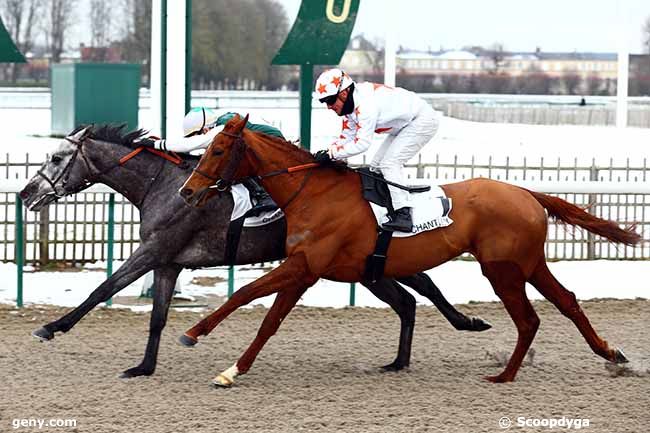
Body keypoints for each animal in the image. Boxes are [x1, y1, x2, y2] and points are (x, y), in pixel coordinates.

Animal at [17, 123, 488, 376]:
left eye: (57, 158)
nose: (25, 193)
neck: (162, 185)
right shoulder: (168, 263)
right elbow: (157, 318)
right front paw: (144, 367)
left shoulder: (152, 251)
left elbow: (103, 288)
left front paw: (51, 327)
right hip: (366, 266)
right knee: (410, 298)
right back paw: (419, 348)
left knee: (420, 288)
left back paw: (466, 323)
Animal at [176, 114, 636, 384]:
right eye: (205, 148)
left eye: (218, 149)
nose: (187, 192)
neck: (313, 192)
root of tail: (526, 192)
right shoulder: (309, 268)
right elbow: (261, 312)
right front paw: (221, 357)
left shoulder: (305, 267)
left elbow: (251, 301)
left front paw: (208, 346)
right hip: (529, 263)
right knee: (567, 301)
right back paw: (610, 353)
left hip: (502, 269)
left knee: (529, 319)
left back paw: (505, 375)